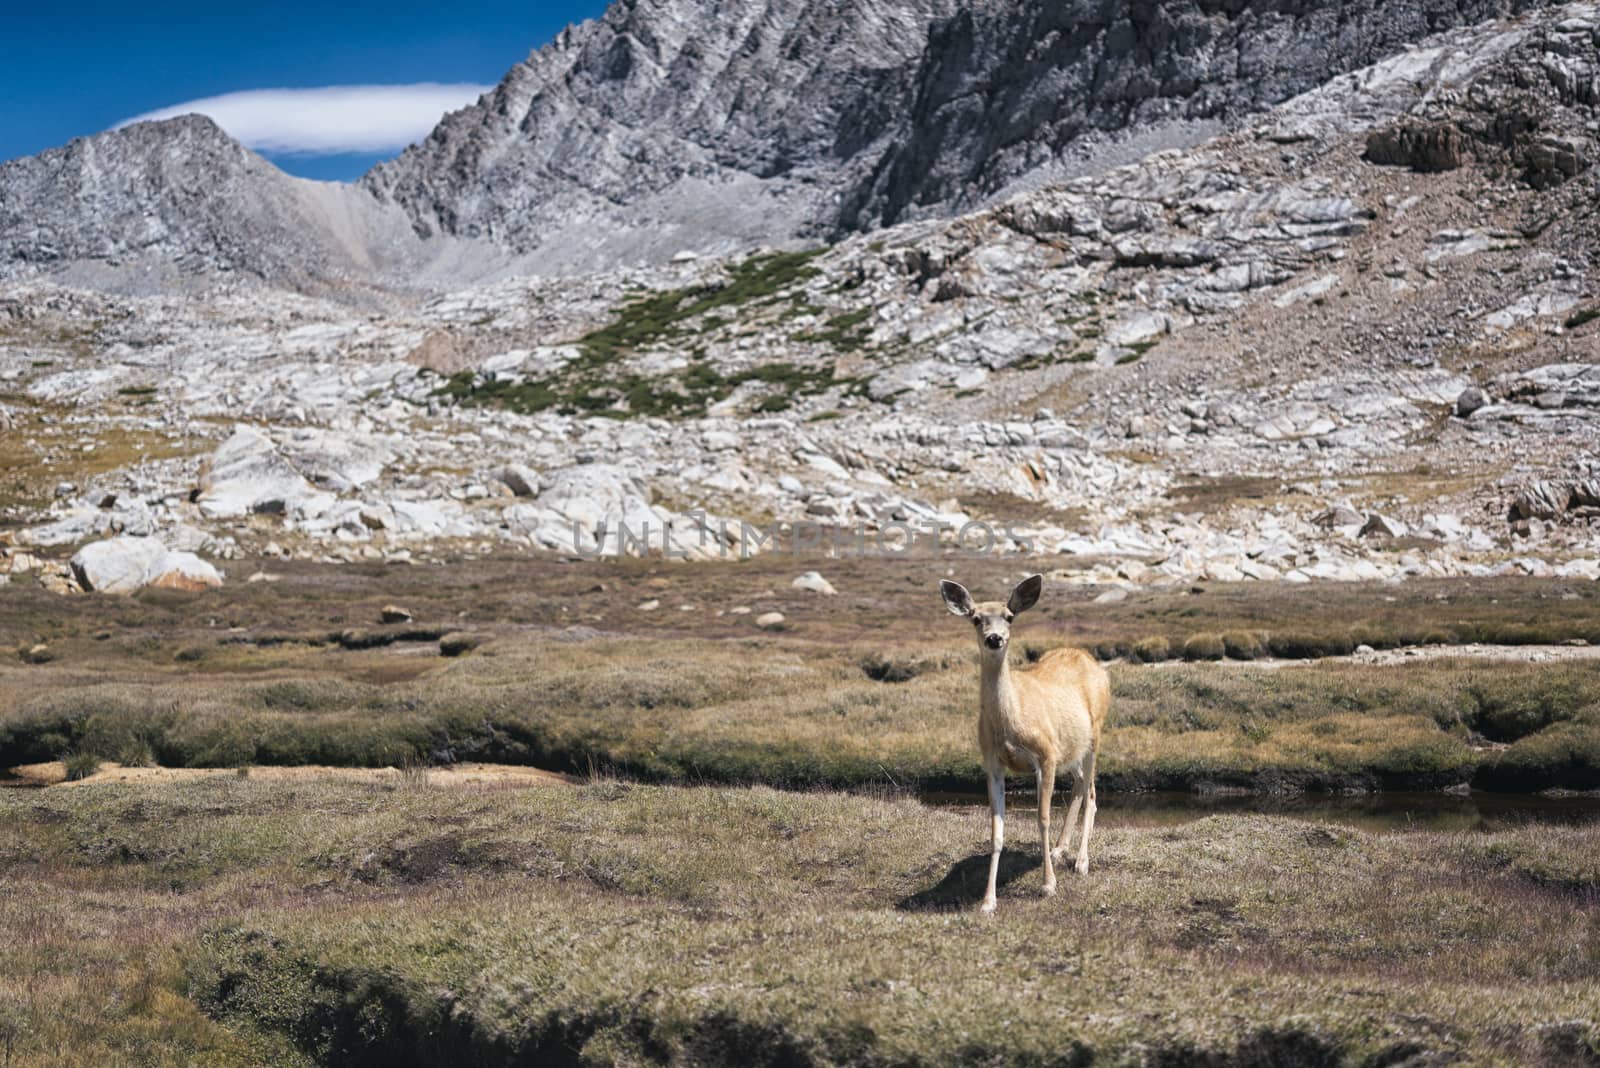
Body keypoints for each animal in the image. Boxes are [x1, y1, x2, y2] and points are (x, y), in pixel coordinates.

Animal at [934, 572, 1113, 914]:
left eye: (1009, 616)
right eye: (975, 618)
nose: (994, 638)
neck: (1011, 722)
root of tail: (1089, 658)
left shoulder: (1045, 754)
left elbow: (1042, 818)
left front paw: (1048, 885)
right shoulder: (992, 762)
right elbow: (996, 832)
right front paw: (988, 901)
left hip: (1095, 734)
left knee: (1092, 792)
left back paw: (1081, 861)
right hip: (1070, 748)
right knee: (1080, 785)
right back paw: (1060, 850)